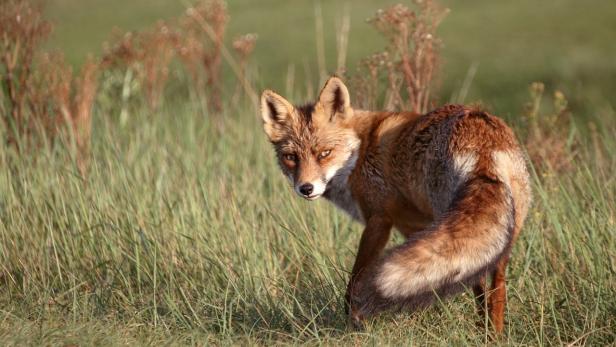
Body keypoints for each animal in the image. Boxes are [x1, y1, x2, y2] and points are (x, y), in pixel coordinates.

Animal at [258, 77, 532, 334]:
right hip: (498, 234)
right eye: (291, 157)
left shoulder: (379, 220)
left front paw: (352, 321)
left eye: (325, 153)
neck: (361, 150)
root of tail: (483, 143)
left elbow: (356, 278)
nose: (306, 188)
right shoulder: (414, 228)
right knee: (494, 284)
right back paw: (492, 334)